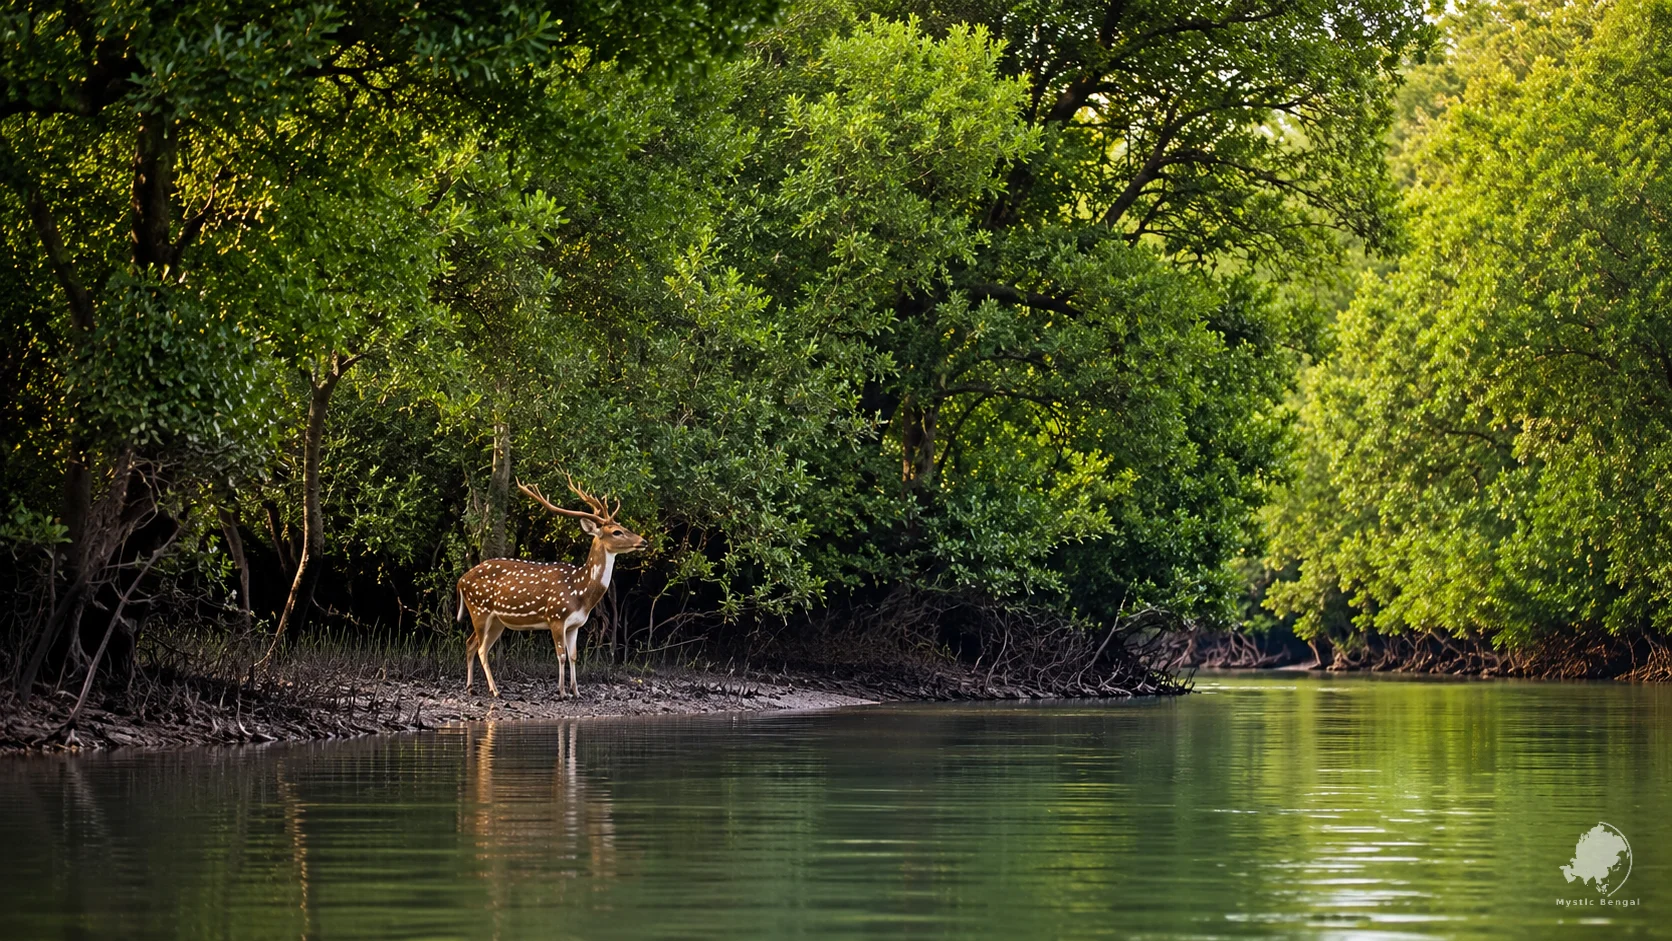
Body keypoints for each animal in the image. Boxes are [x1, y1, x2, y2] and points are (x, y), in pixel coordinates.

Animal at [456, 475, 647, 698]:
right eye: (617, 532)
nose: (643, 541)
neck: (581, 593)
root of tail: (461, 581)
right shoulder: (556, 616)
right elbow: (561, 655)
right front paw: (562, 691)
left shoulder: (575, 624)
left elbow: (573, 656)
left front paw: (576, 691)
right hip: (480, 609)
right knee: (480, 648)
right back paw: (494, 690)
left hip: (497, 620)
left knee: (471, 644)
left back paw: (471, 687)